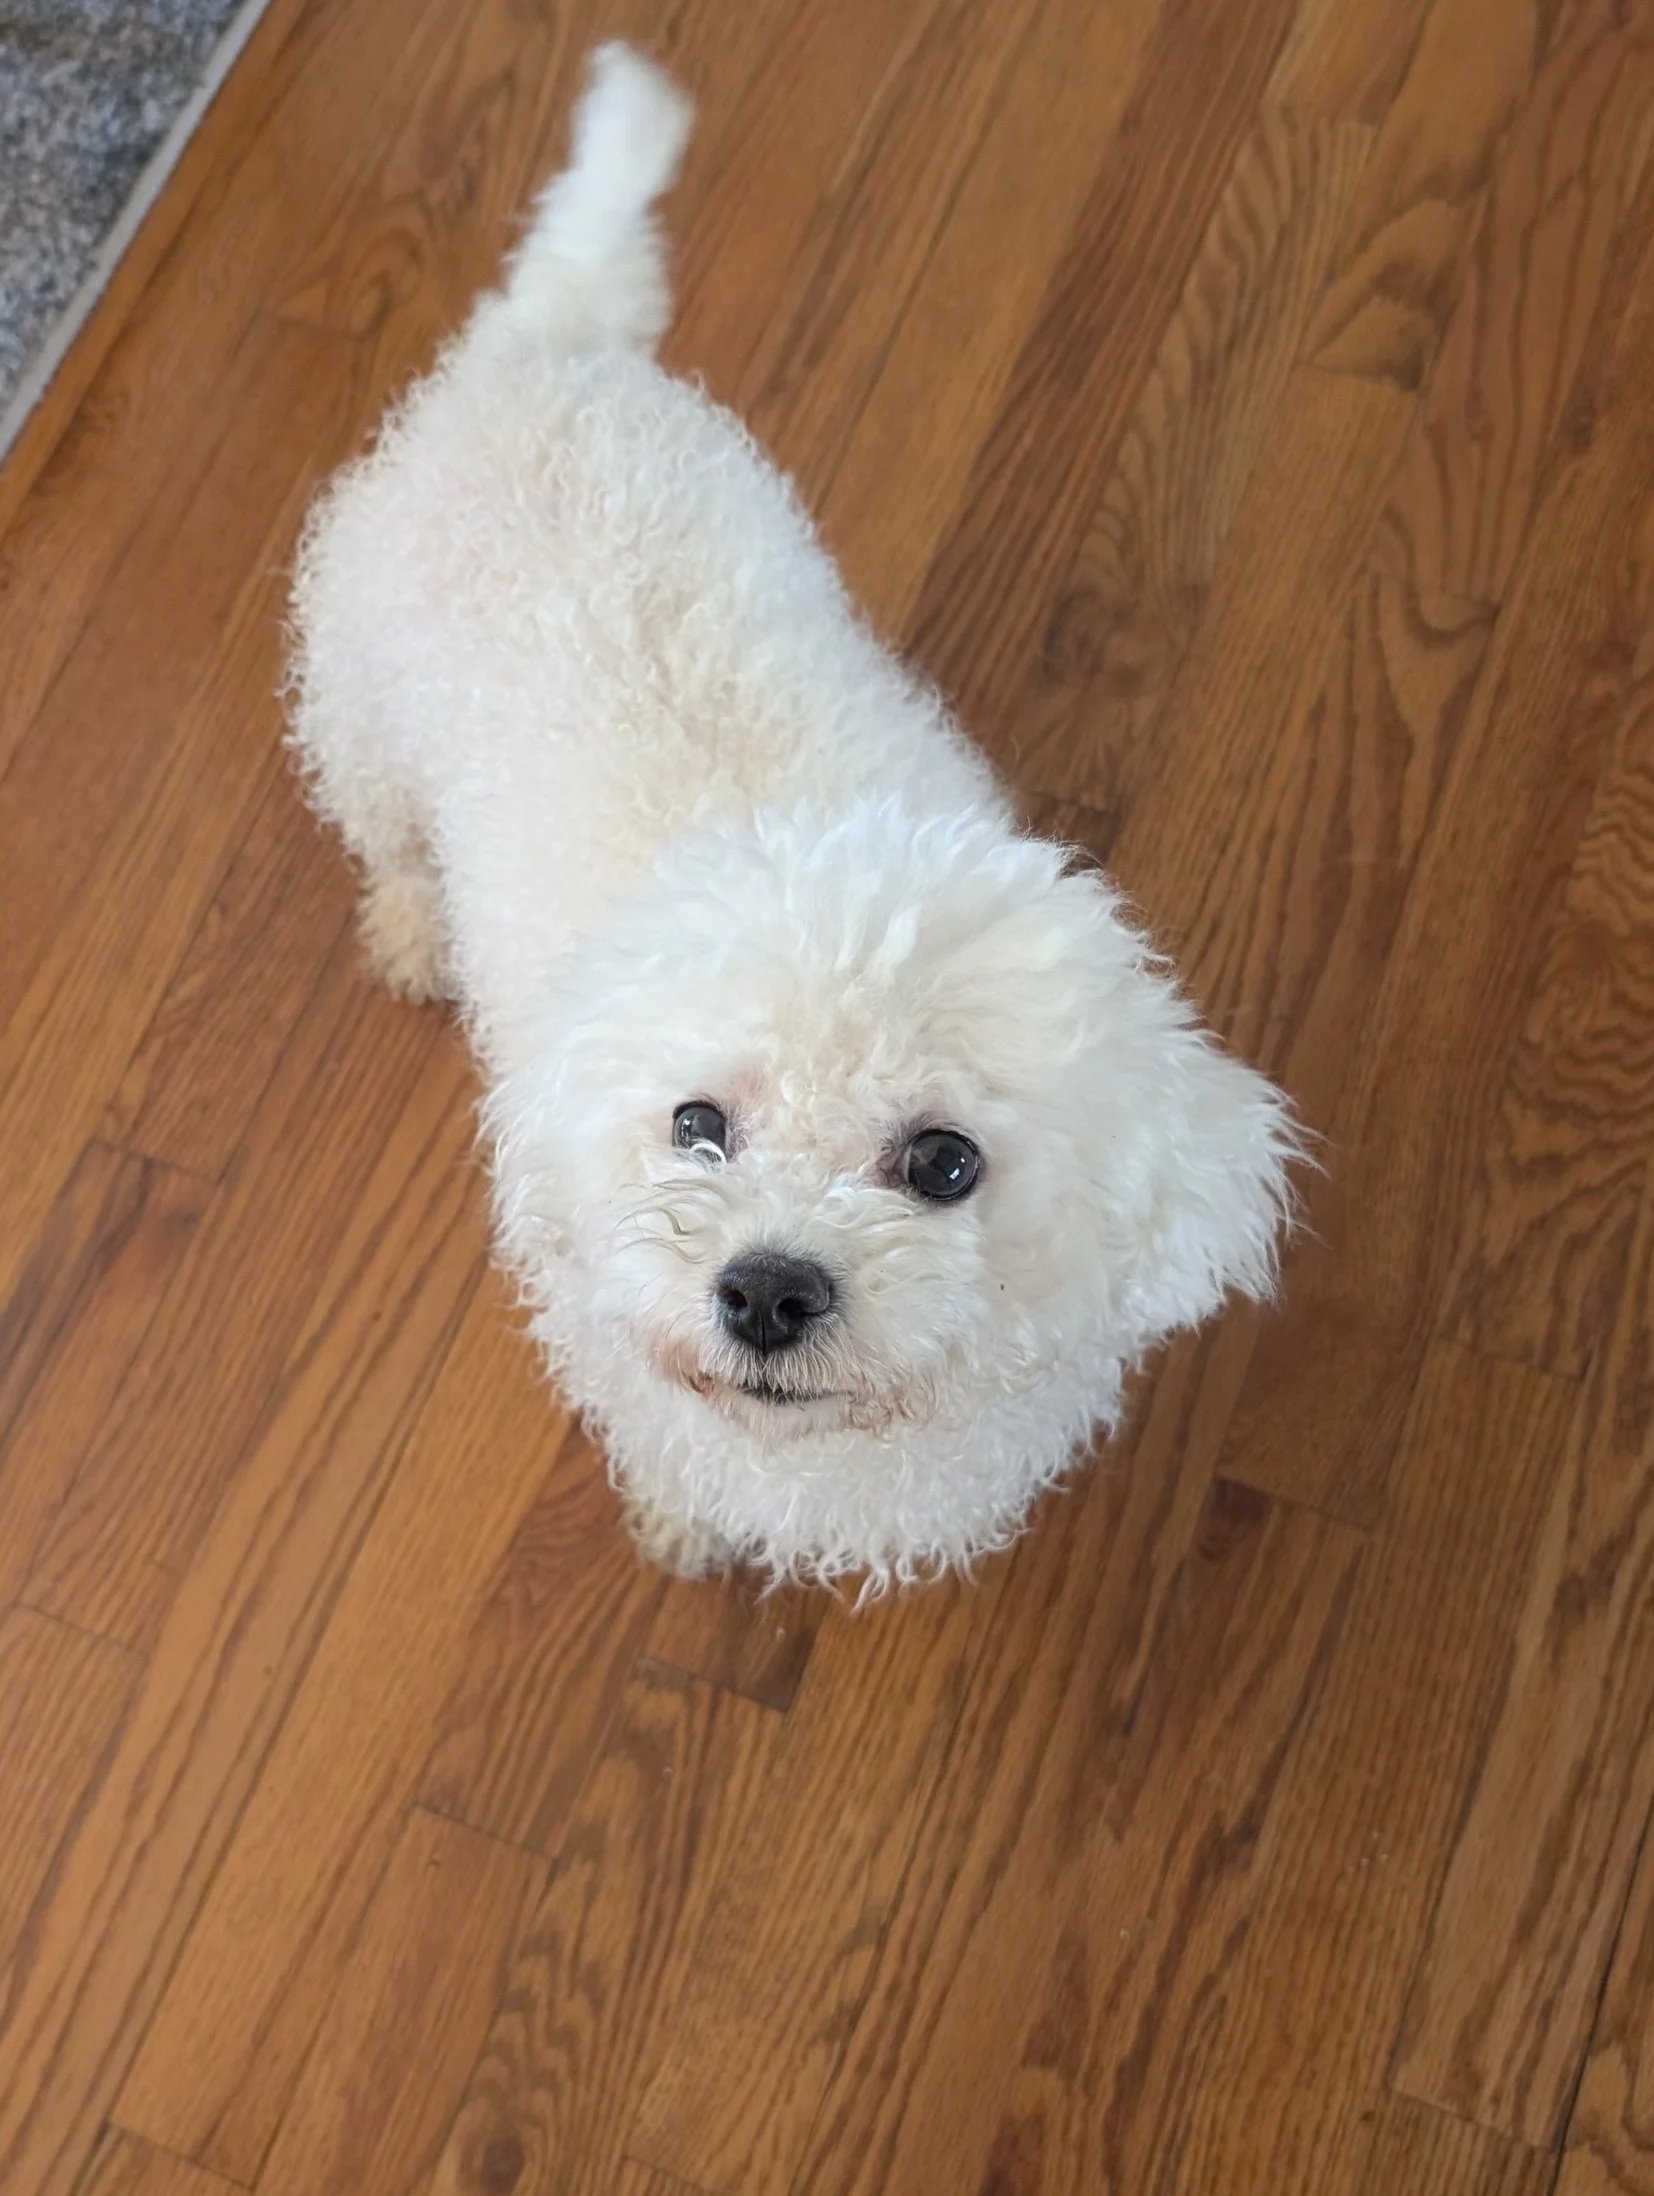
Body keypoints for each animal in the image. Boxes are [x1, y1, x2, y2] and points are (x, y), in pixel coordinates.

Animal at [286, 44, 1300, 1591]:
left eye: (943, 1162)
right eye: (697, 1125)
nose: (764, 1290)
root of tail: (548, 351)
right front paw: (684, 1525)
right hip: (358, 710)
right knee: (390, 841)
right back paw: (411, 932)